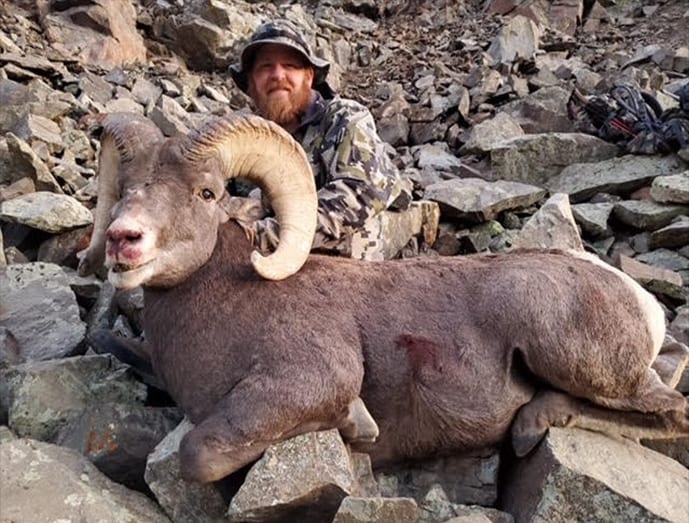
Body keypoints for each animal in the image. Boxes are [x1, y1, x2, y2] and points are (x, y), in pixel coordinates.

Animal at [78, 112, 689, 484]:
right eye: (125, 189)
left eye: (206, 193)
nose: (123, 240)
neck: (225, 302)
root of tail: (639, 301)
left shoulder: (304, 380)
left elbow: (198, 455)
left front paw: (358, 427)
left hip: (568, 350)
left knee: (670, 411)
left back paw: (533, 423)